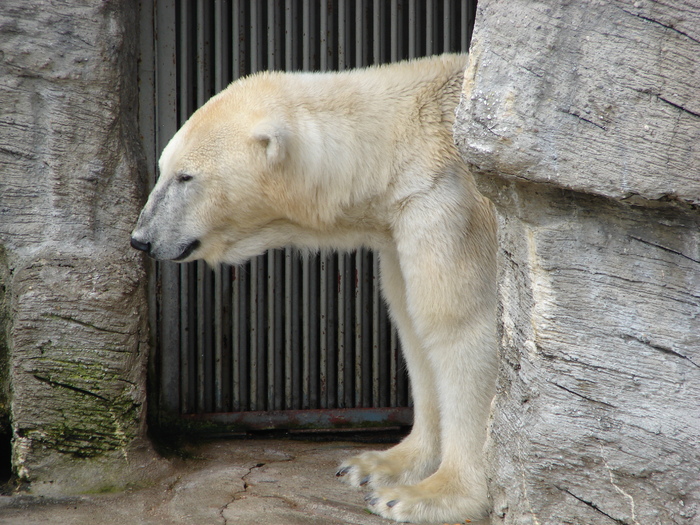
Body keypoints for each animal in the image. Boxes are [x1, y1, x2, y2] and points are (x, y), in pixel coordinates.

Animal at [131, 54, 497, 523]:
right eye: (163, 168)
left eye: (186, 176)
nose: (141, 238)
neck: (400, 143)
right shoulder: (397, 228)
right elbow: (412, 323)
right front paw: (375, 466)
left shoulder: (449, 204)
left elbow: (461, 326)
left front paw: (427, 496)